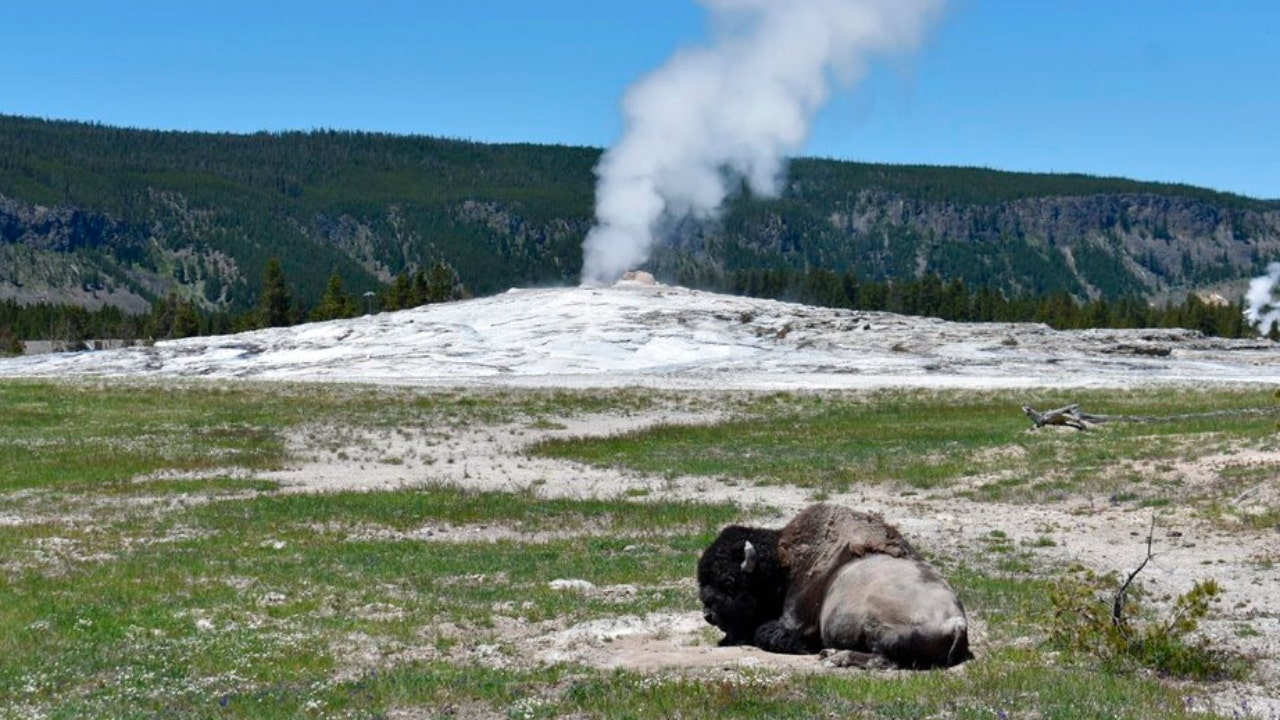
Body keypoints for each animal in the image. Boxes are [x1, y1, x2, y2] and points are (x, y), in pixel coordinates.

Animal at [701, 502, 967, 666]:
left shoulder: (794, 620)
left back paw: (834, 657)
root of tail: (957, 622)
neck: (783, 564)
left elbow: (766, 633)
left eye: (729, 582)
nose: (708, 615)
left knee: (884, 660)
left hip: (880, 626)